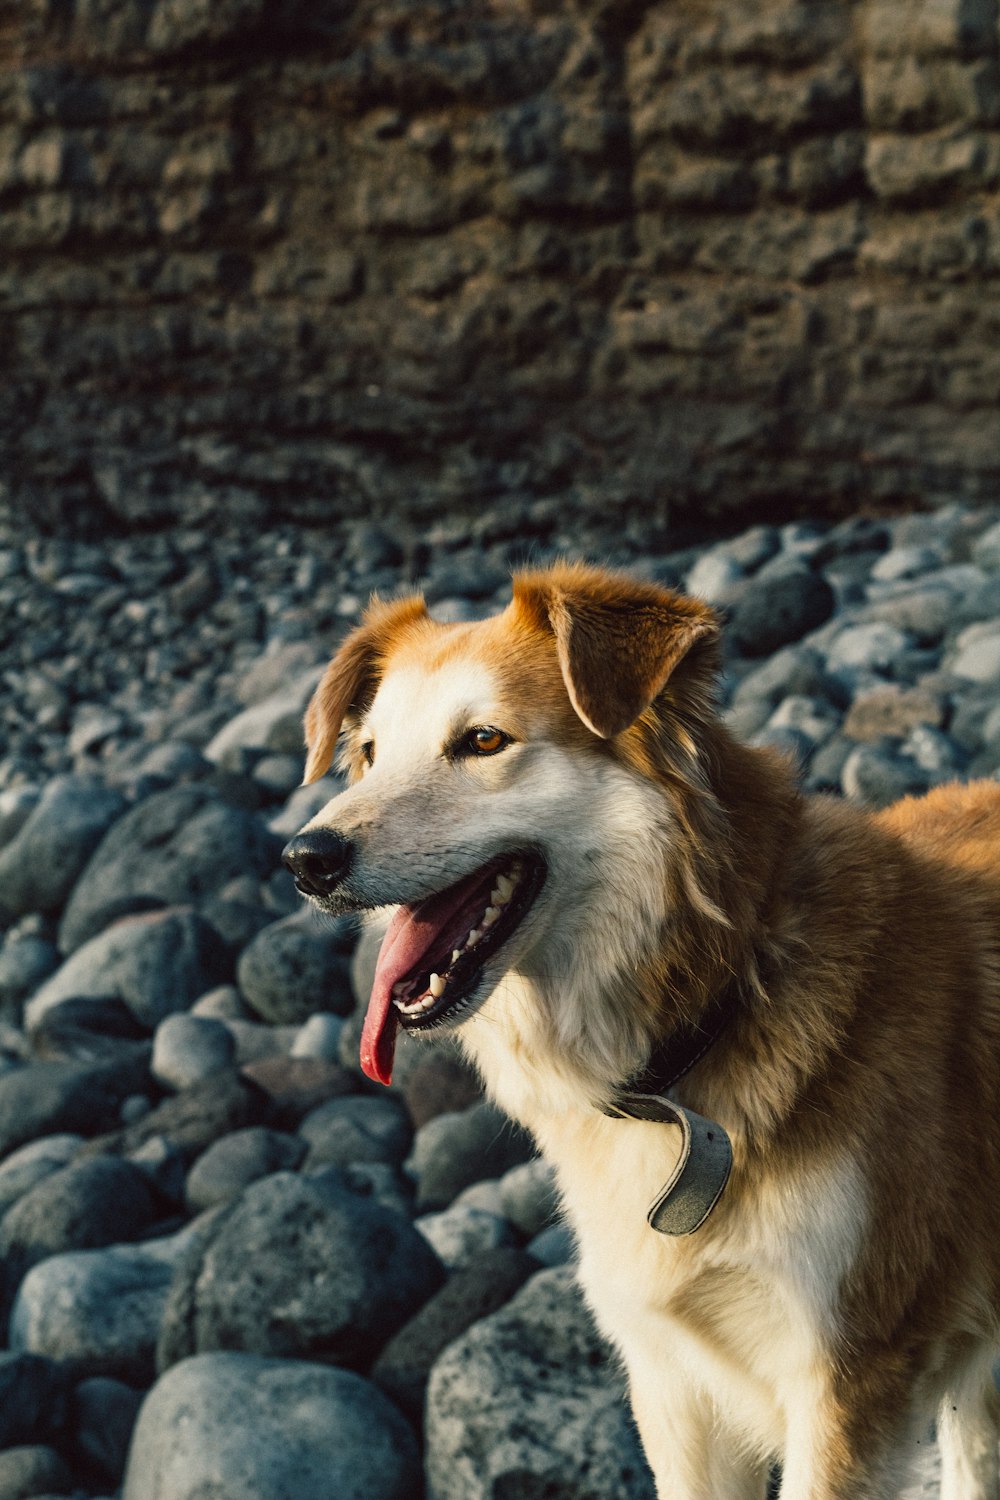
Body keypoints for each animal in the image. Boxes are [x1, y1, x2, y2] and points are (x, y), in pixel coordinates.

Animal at [280, 564, 1000, 1500]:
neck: (727, 987)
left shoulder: (849, 1377)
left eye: (483, 741)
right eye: (368, 754)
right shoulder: (674, 1384)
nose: (306, 859)